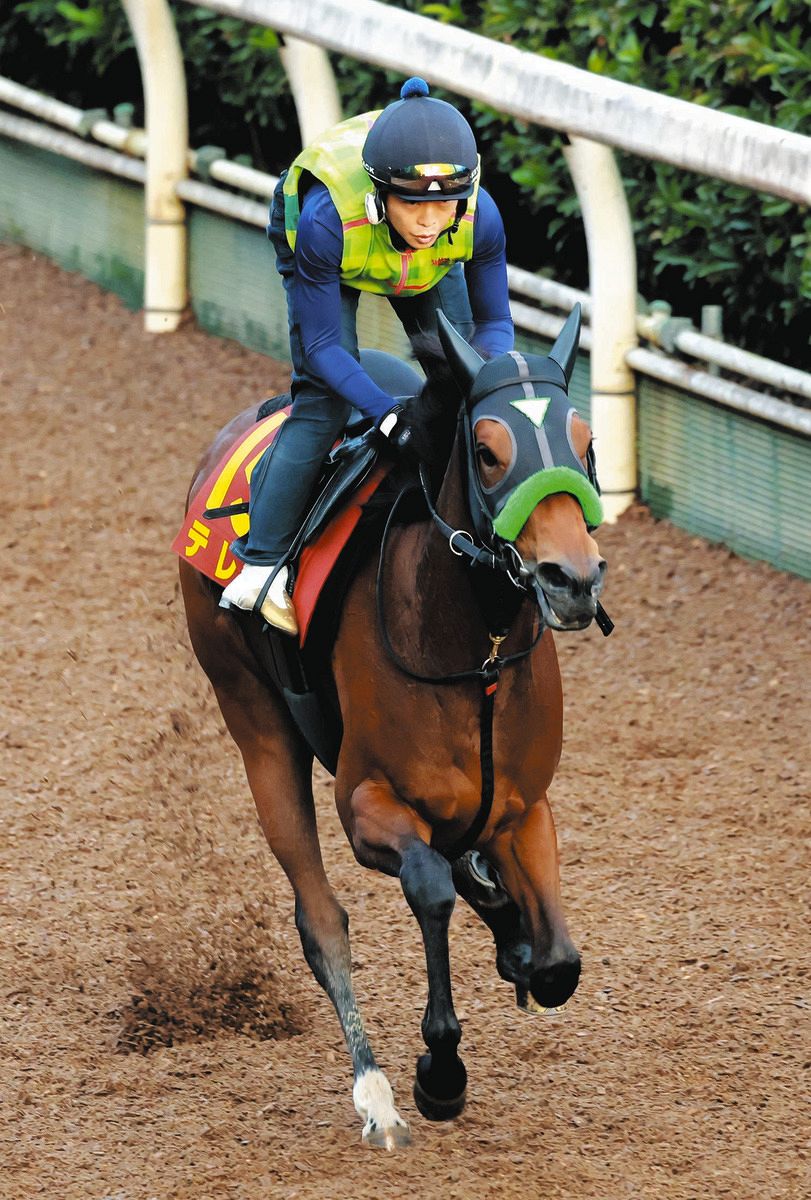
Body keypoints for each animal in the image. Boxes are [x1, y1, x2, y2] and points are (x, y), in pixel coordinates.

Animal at [178, 306, 607, 1149]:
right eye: (487, 452)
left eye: (586, 443)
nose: (571, 580)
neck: (476, 657)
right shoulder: (367, 804)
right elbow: (427, 887)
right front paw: (439, 1070)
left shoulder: (524, 807)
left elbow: (557, 962)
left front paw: (514, 934)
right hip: (254, 719)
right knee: (321, 920)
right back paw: (374, 1093)